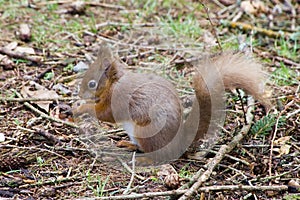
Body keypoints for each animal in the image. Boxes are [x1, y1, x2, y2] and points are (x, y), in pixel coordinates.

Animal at [74, 44, 270, 163]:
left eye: (92, 83)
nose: (80, 93)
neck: (114, 83)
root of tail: (179, 140)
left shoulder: (119, 98)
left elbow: (105, 114)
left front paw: (80, 108)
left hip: (147, 133)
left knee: (159, 156)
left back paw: (144, 159)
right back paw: (128, 144)